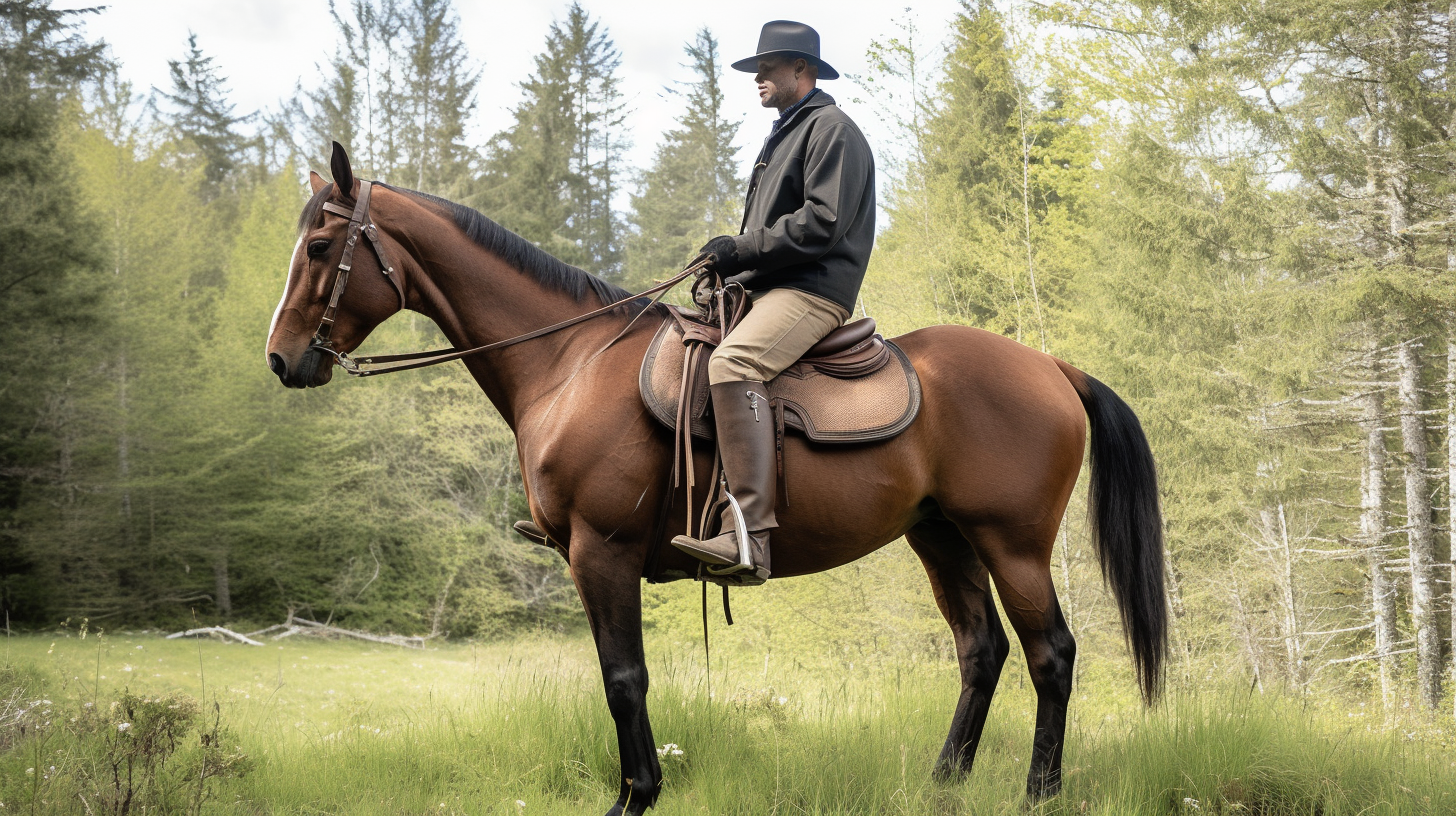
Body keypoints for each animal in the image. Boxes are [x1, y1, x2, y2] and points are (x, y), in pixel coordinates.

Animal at [267, 143, 1164, 810]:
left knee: (1052, 653)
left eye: (320, 247)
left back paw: (1039, 794)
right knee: (981, 652)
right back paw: (943, 785)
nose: (281, 360)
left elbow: (623, 679)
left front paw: (635, 796)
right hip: (941, 538)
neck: (569, 361)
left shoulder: (602, 552)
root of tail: (1052, 367)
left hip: (1013, 544)